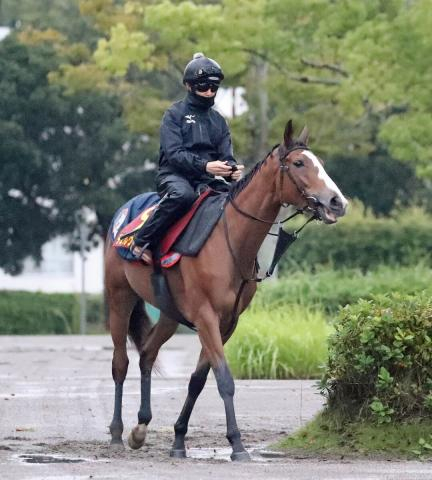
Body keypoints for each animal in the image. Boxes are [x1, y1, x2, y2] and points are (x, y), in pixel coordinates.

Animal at [104, 120, 348, 462]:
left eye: (320, 163)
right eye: (299, 163)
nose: (337, 202)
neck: (229, 240)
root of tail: (123, 214)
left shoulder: (226, 322)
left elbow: (198, 380)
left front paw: (179, 440)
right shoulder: (206, 317)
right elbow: (224, 378)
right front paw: (237, 444)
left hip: (169, 314)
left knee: (147, 355)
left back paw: (141, 428)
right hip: (120, 298)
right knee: (120, 363)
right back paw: (116, 432)